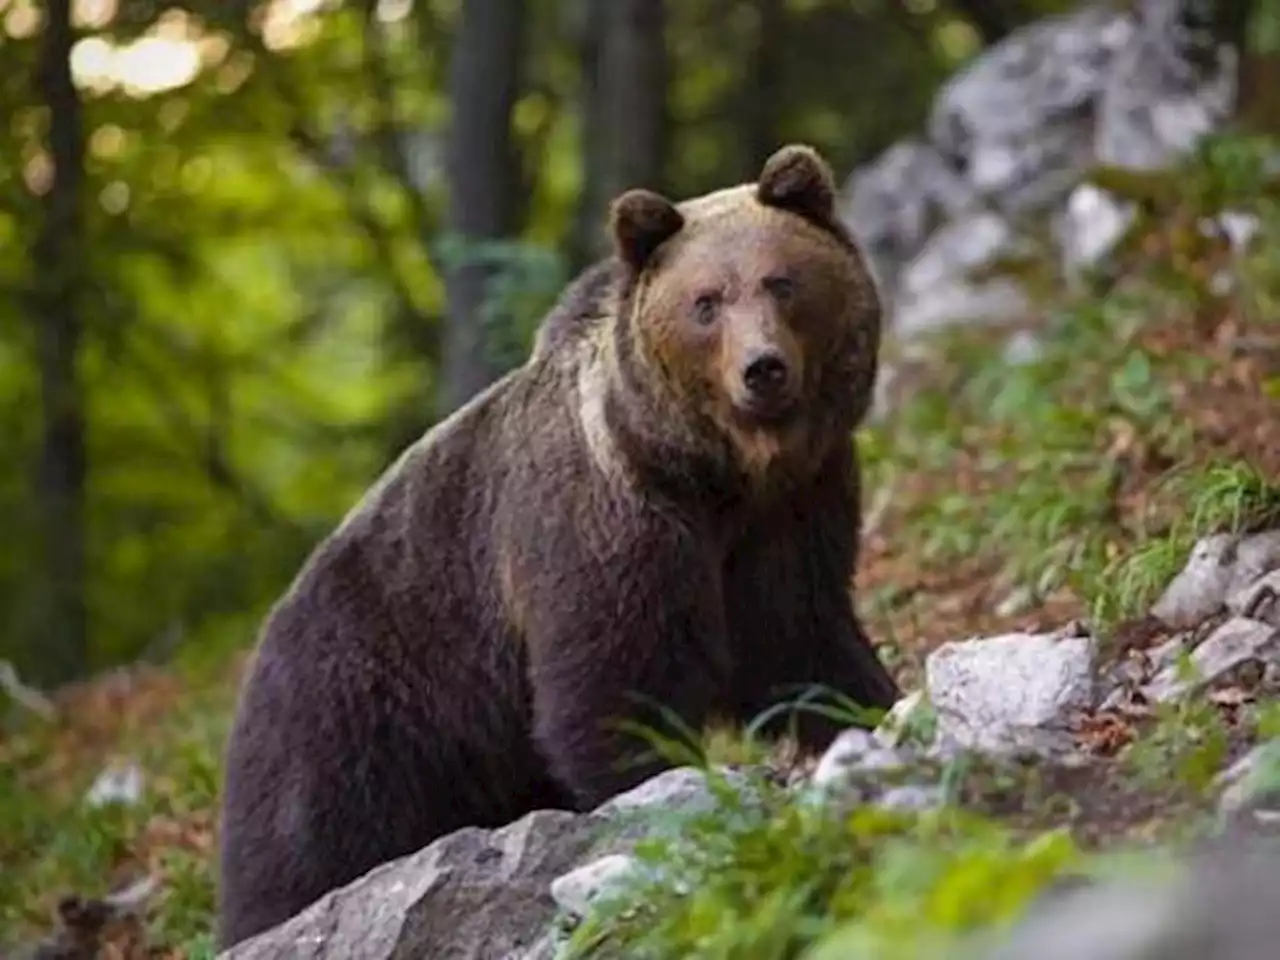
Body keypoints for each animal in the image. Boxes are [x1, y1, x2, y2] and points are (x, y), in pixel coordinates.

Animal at [215, 146, 901, 952]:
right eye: (706, 302)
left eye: (781, 281)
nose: (762, 368)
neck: (714, 475)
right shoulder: (605, 526)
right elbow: (613, 683)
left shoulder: (792, 515)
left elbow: (802, 639)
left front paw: (871, 710)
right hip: (352, 712)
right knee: (302, 850)